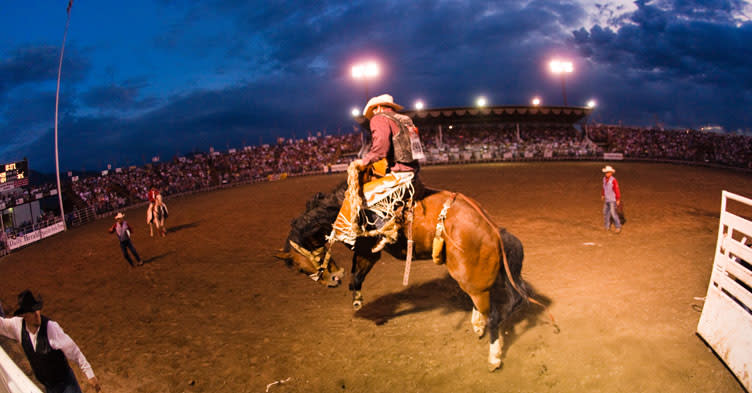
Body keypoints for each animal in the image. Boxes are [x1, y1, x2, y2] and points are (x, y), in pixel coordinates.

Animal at [276, 166, 552, 370]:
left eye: (298, 267)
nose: (334, 278)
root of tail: (494, 231)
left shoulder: (367, 250)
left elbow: (357, 274)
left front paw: (358, 299)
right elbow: (356, 277)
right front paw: (357, 299)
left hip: (470, 275)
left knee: (492, 312)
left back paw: (493, 355)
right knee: (501, 300)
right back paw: (478, 325)